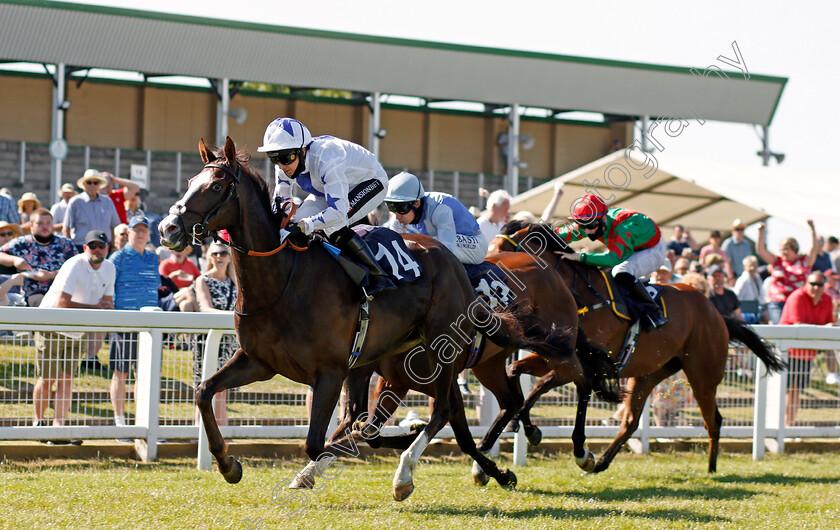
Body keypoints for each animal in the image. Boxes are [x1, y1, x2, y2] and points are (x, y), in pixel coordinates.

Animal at [157, 137, 568, 500]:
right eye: (190, 182)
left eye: (216, 185)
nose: (168, 229)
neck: (283, 279)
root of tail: (453, 263)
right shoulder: (259, 361)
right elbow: (204, 391)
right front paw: (228, 464)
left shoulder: (329, 372)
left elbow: (317, 441)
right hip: (412, 362)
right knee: (455, 414)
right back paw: (491, 469)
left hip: (441, 350)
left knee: (446, 410)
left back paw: (407, 474)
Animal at [328, 248, 624, 482]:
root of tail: (553, 273)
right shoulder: (394, 381)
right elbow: (372, 431)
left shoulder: (442, 382)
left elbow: (460, 434)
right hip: (489, 364)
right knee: (512, 401)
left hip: (558, 352)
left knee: (584, 381)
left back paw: (581, 452)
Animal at [488, 219, 784, 470]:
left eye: (504, 250)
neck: (582, 296)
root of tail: (717, 314)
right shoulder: (556, 354)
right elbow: (515, 370)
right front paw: (521, 424)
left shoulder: (581, 363)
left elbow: (540, 384)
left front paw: (526, 427)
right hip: (648, 374)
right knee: (631, 422)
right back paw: (601, 462)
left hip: (703, 375)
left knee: (714, 420)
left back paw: (711, 469)